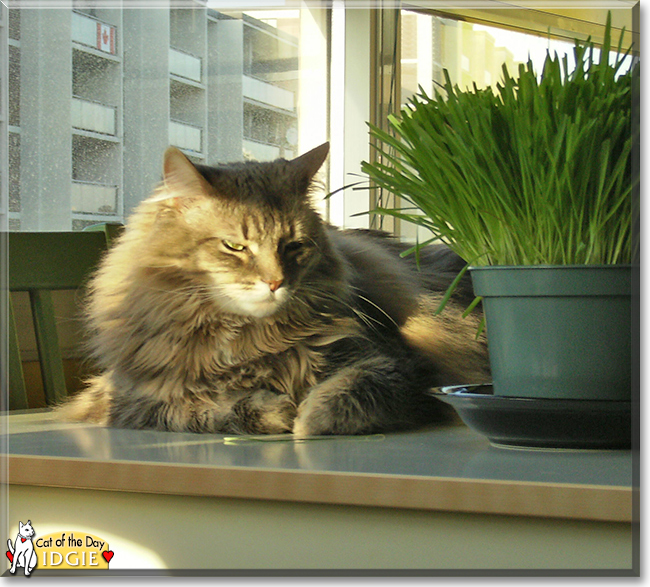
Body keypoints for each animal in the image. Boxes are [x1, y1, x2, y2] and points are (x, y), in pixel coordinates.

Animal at [58, 142, 488, 436]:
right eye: (234, 247)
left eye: (293, 246)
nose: (276, 281)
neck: (246, 342)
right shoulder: (137, 401)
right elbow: (212, 409)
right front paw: (276, 410)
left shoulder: (396, 365)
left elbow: (346, 391)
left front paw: (306, 418)